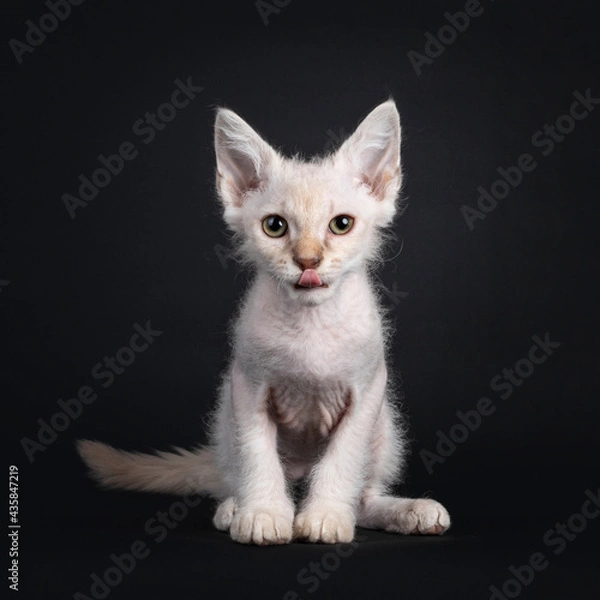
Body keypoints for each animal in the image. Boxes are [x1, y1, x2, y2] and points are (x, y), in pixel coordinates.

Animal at [77, 101, 450, 548]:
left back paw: (408, 511)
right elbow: (257, 455)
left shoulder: (369, 390)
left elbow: (343, 459)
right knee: (237, 475)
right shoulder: (246, 386)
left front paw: (325, 516)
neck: (310, 324)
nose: (308, 261)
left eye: (341, 224)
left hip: (385, 429)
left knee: (364, 496)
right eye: (275, 226)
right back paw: (235, 508)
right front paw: (264, 514)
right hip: (225, 425)